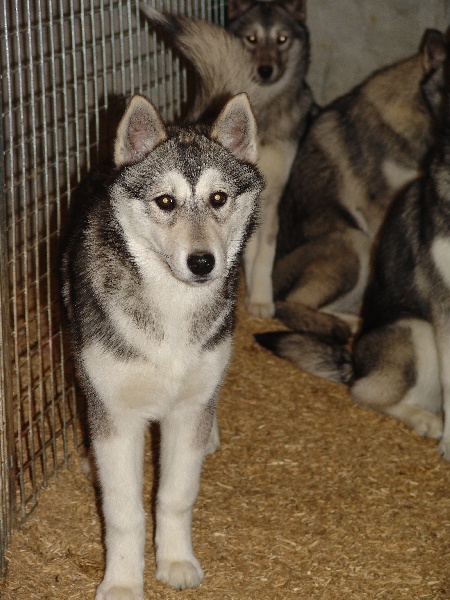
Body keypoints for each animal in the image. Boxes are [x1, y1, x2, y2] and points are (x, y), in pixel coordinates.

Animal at [59, 92, 264, 596]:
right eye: (165, 201)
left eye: (218, 198)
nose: (203, 262)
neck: (172, 307)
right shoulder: (117, 413)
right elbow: (124, 513)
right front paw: (122, 583)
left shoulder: (187, 411)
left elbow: (175, 495)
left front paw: (174, 560)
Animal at [140, 1, 312, 318]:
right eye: (251, 39)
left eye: (281, 39)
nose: (265, 70)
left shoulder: (270, 198)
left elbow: (264, 253)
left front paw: (260, 299)